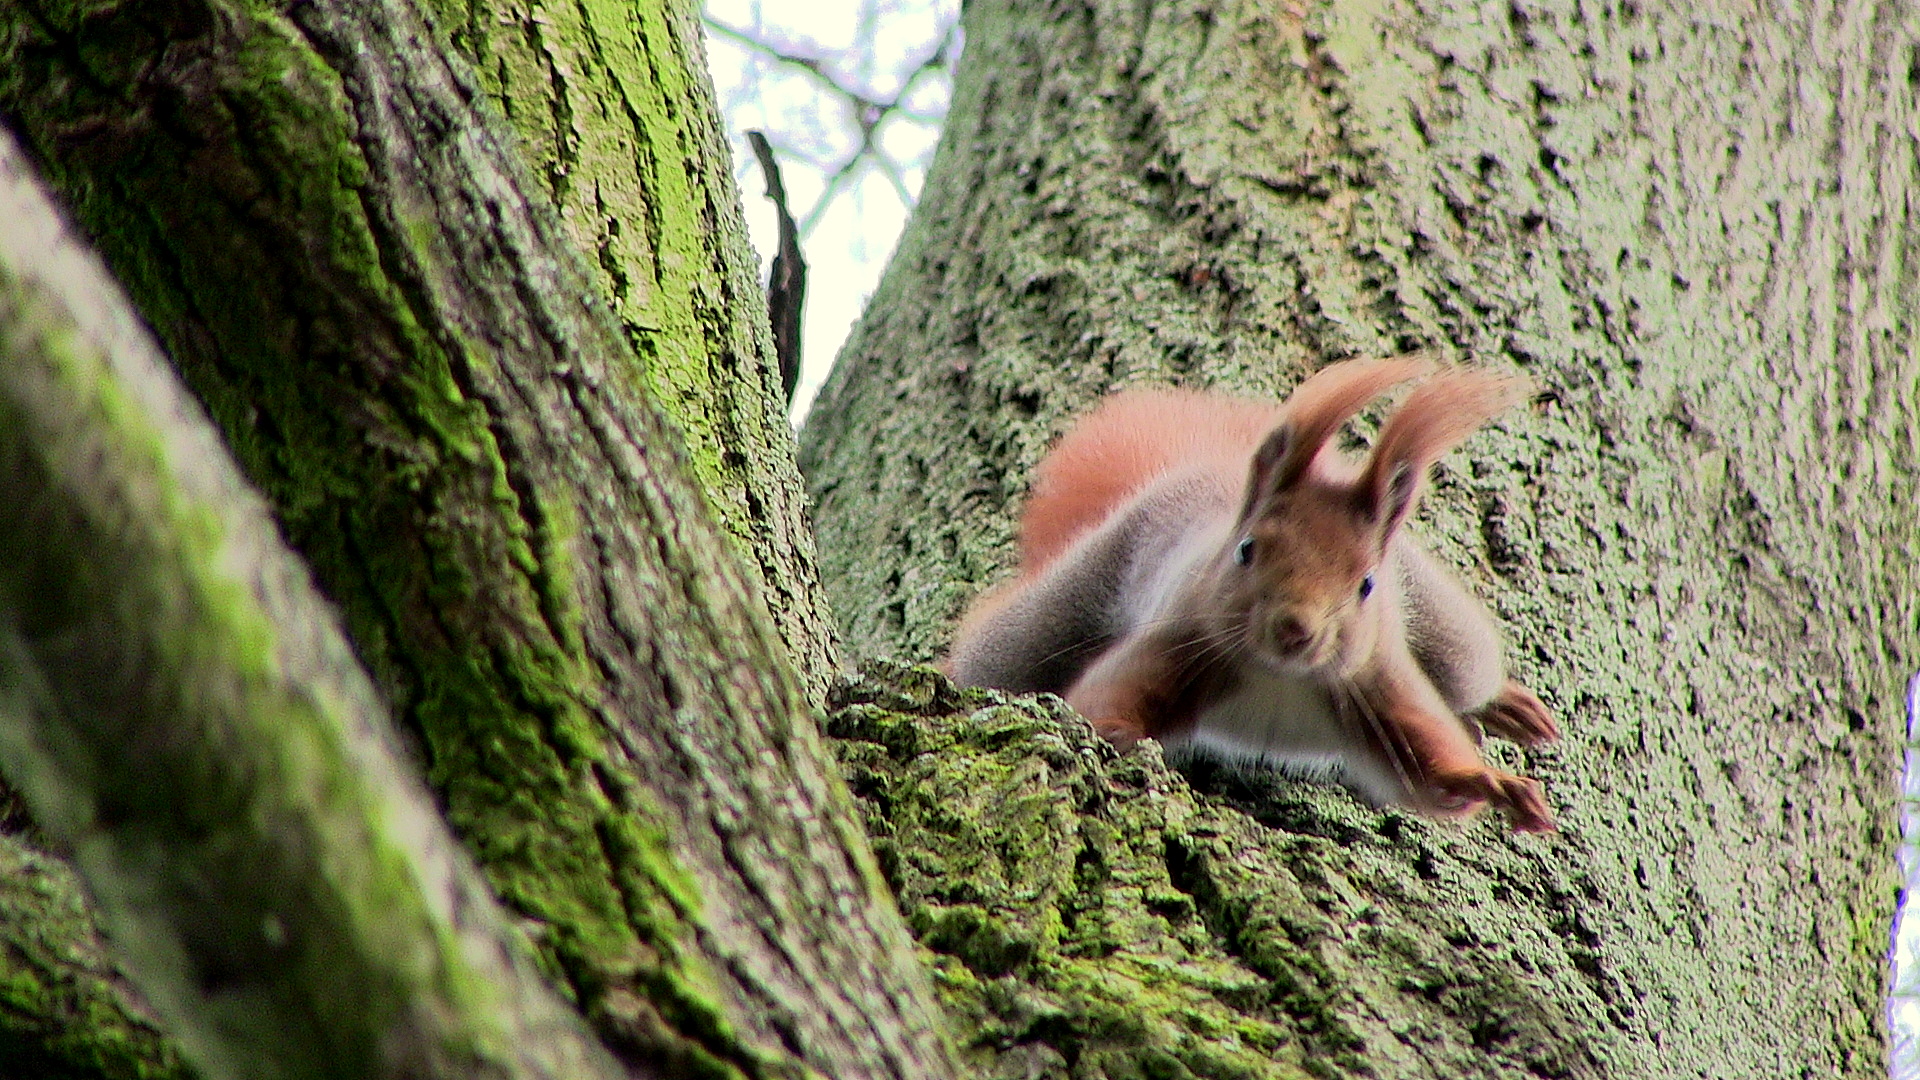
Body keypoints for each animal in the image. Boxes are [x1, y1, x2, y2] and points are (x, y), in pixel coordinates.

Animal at [944, 357, 1559, 826]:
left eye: (1366, 584)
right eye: (1246, 550)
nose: (1295, 630)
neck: (1278, 677)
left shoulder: (1376, 683)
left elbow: (1428, 773)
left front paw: (1495, 784)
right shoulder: (1177, 641)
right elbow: (1104, 702)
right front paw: (1122, 736)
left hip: (1444, 632)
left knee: (1465, 675)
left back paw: (1506, 705)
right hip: (1056, 613)